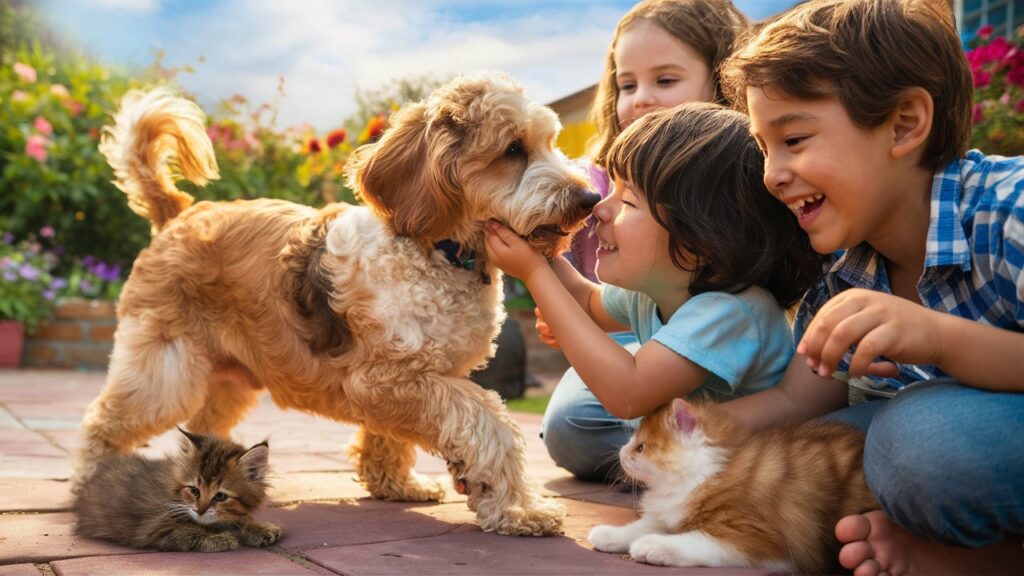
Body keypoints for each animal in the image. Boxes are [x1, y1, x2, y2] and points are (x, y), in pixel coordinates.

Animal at [72, 426, 282, 553]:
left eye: (220, 496)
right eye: (194, 490)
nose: (200, 510)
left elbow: (236, 520)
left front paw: (259, 527)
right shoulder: (156, 528)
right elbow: (189, 530)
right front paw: (220, 538)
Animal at [77, 73, 598, 537]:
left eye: (548, 142)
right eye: (513, 150)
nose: (591, 197)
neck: (433, 251)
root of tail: (177, 214)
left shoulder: (415, 382)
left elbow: (390, 439)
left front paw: (397, 485)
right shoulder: (389, 380)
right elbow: (489, 423)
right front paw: (522, 510)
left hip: (227, 381)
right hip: (164, 370)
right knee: (103, 423)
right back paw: (93, 484)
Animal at [593, 397, 880, 569]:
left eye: (640, 447)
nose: (621, 452)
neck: (706, 473)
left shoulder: (753, 535)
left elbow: (696, 540)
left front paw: (652, 545)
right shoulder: (673, 510)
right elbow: (640, 526)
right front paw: (607, 534)